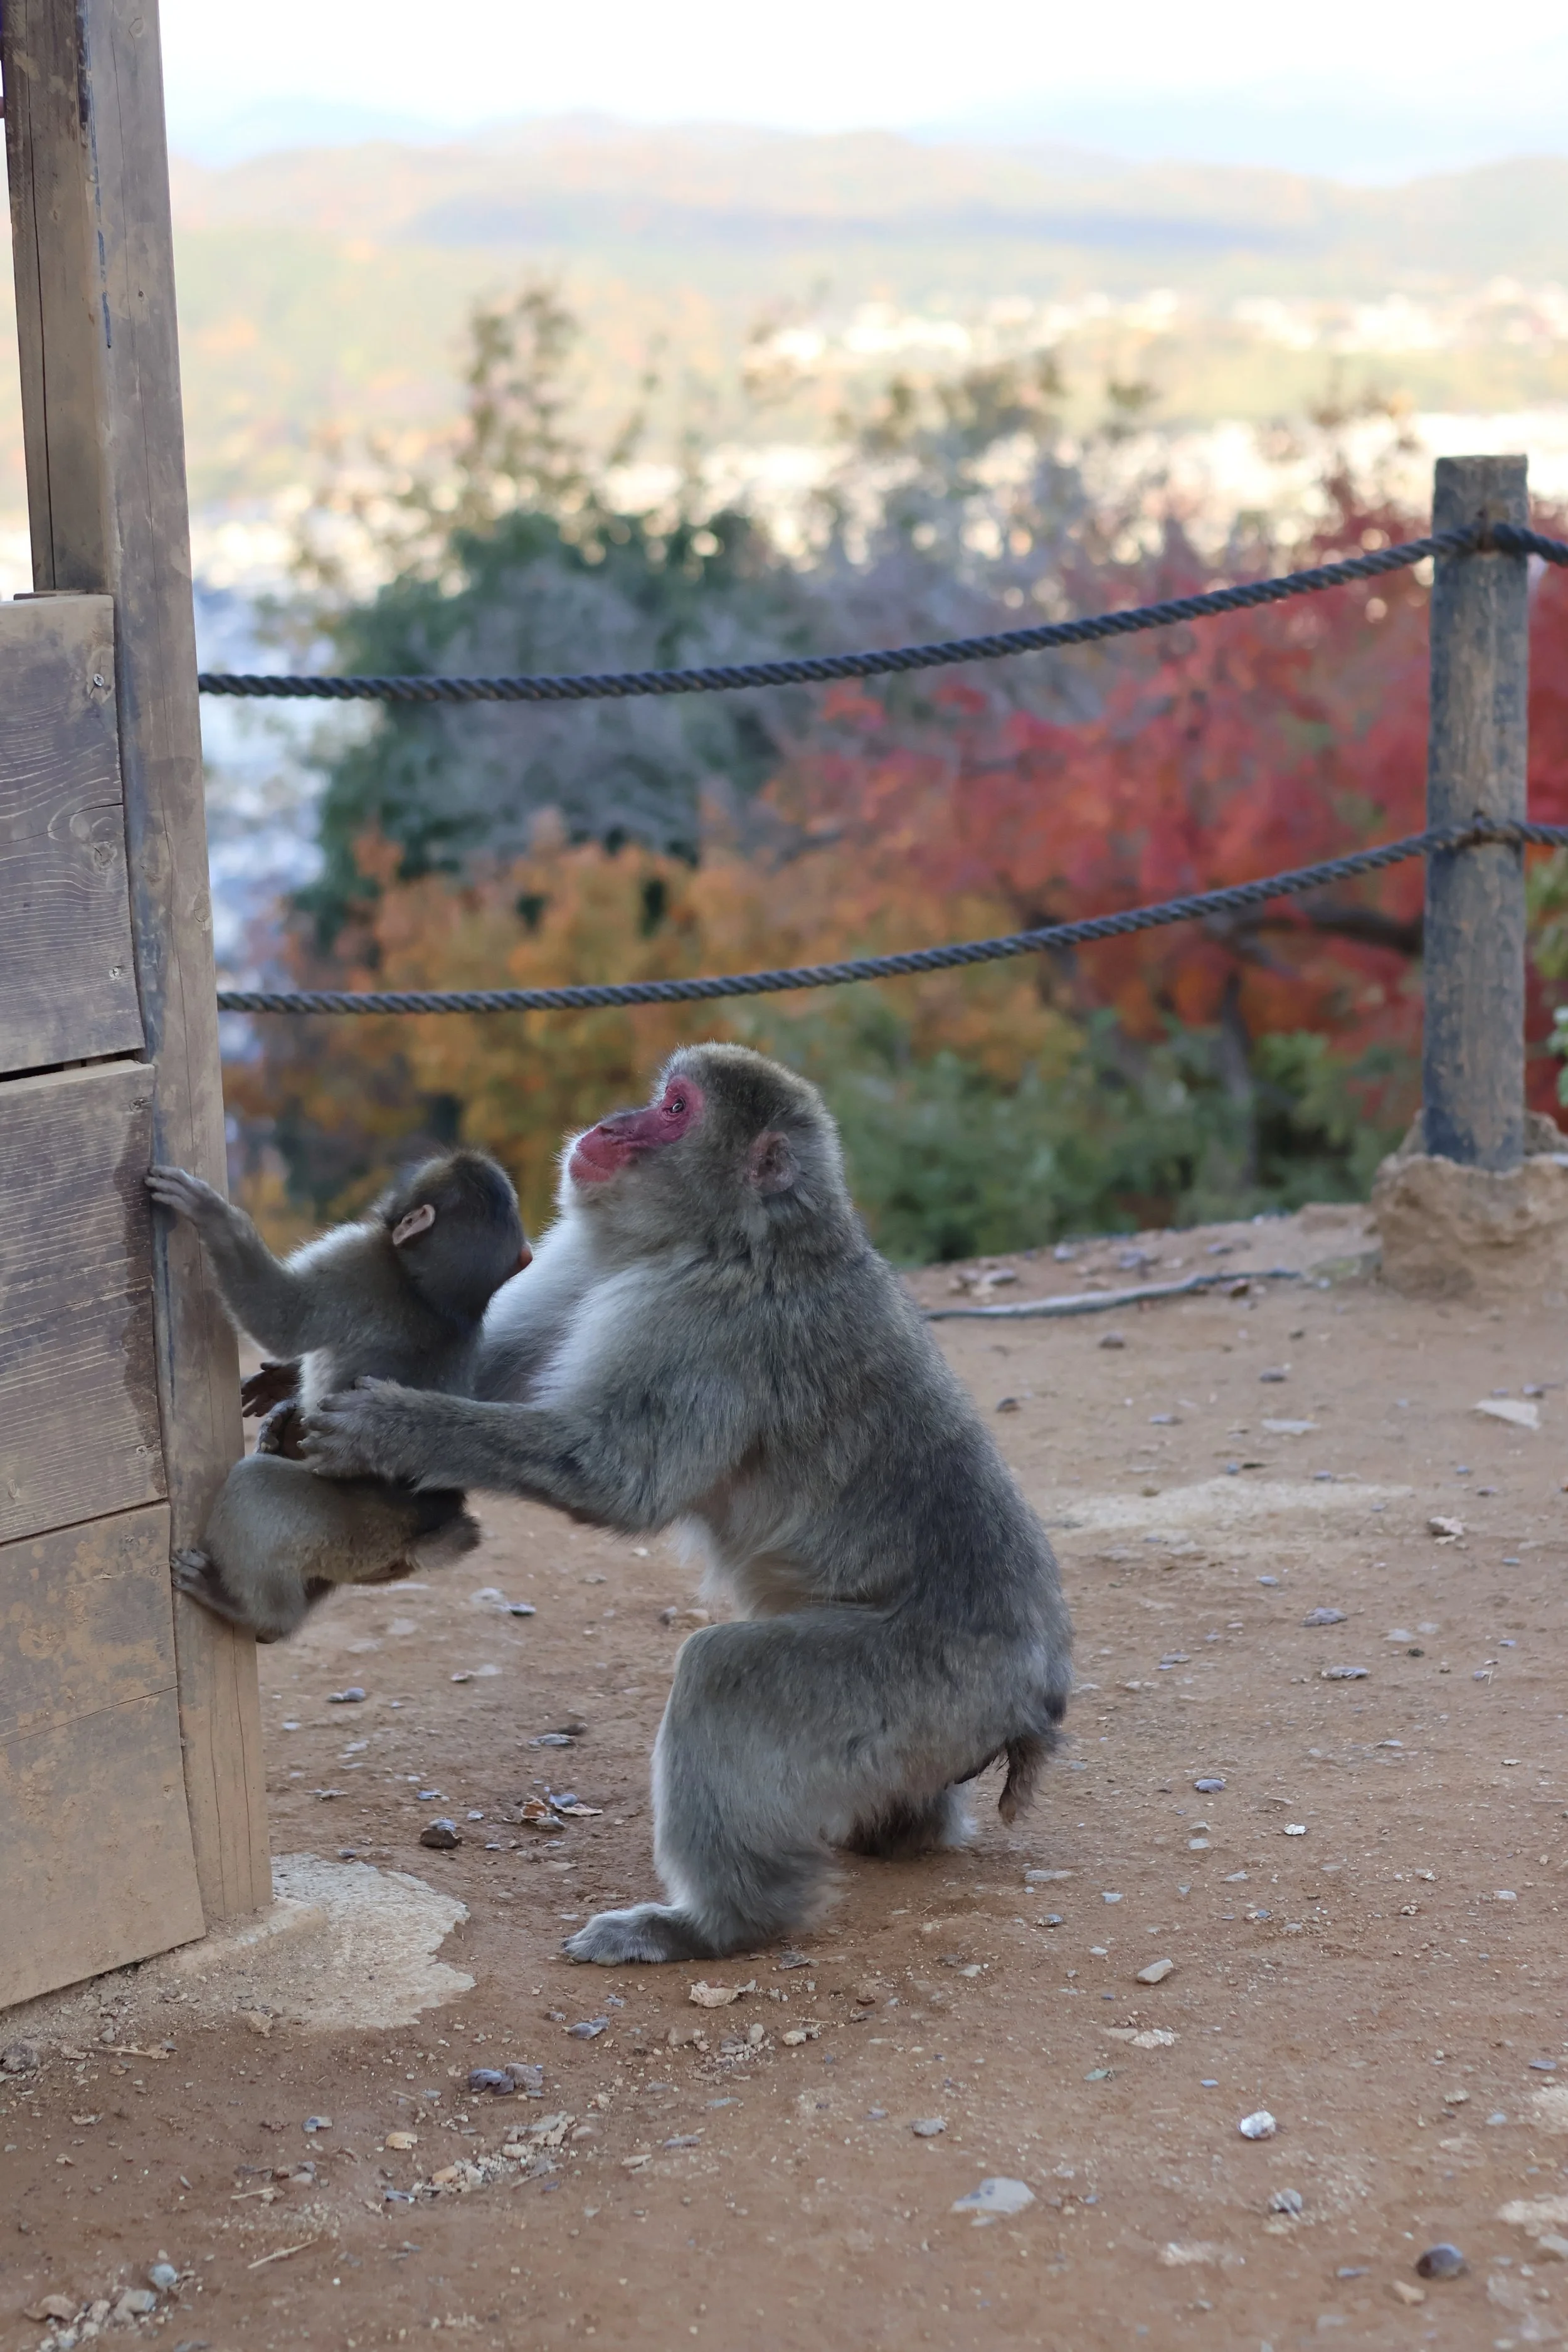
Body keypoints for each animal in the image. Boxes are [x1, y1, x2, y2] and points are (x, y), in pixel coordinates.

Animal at [145, 1150, 529, 1641]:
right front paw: (282, 1393)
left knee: (257, 1486)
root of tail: (421, 1531)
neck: (432, 1295)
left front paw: (215, 1218)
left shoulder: (356, 1259)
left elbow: (282, 1316)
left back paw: (253, 1612)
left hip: (346, 1525)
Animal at [298, 1044, 1072, 1960]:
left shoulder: (707, 1324)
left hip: (934, 1693)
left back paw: (715, 1924)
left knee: (724, 1676)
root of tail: (1037, 1694)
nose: (609, 1124)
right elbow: (484, 1367)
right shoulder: (585, 1263)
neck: (725, 1236)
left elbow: (615, 1476)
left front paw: (393, 1427)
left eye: (673, 1109)